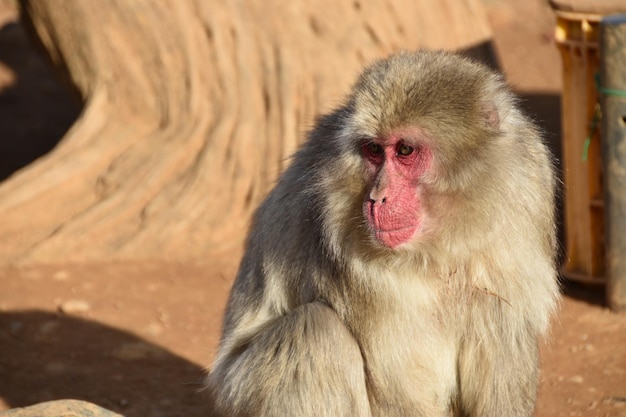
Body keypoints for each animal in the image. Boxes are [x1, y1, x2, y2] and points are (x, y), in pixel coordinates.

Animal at [206, 51, 560, 416]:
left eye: (404, 150)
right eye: (374, 150)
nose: (377, 197)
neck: (444, 240)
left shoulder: (526, 196)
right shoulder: (342, 243)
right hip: (238, 391)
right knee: (314, 333)